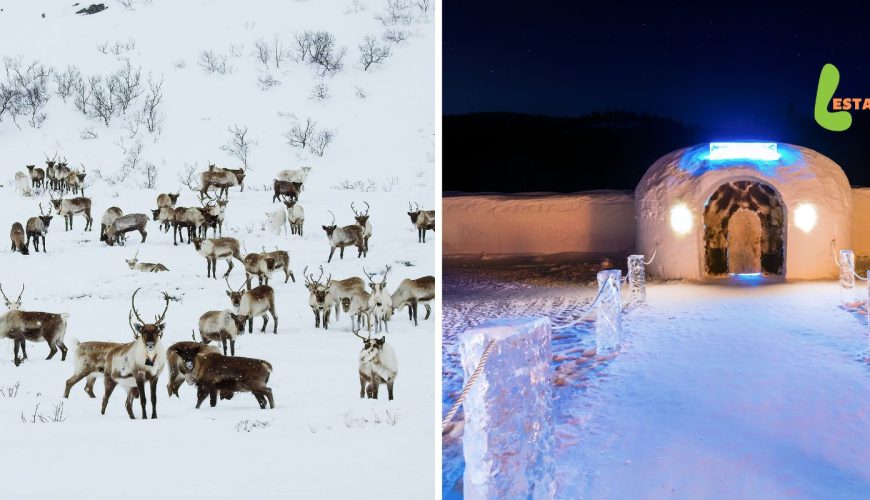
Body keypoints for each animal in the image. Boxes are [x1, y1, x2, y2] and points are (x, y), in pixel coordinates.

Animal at [100, 289, 169, 419]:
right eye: (143, 331)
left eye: (157, 331)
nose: (150, 344)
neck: (150, 360)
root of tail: (109, 353)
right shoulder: (139, 375)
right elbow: (143, 399)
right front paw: (144, 417)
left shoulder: (155, 376)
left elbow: (154, 399)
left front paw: (154, 417)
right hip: (109, 379)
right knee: (105, 400)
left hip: (130, 387)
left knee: (127, 403)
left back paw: (132, 417)